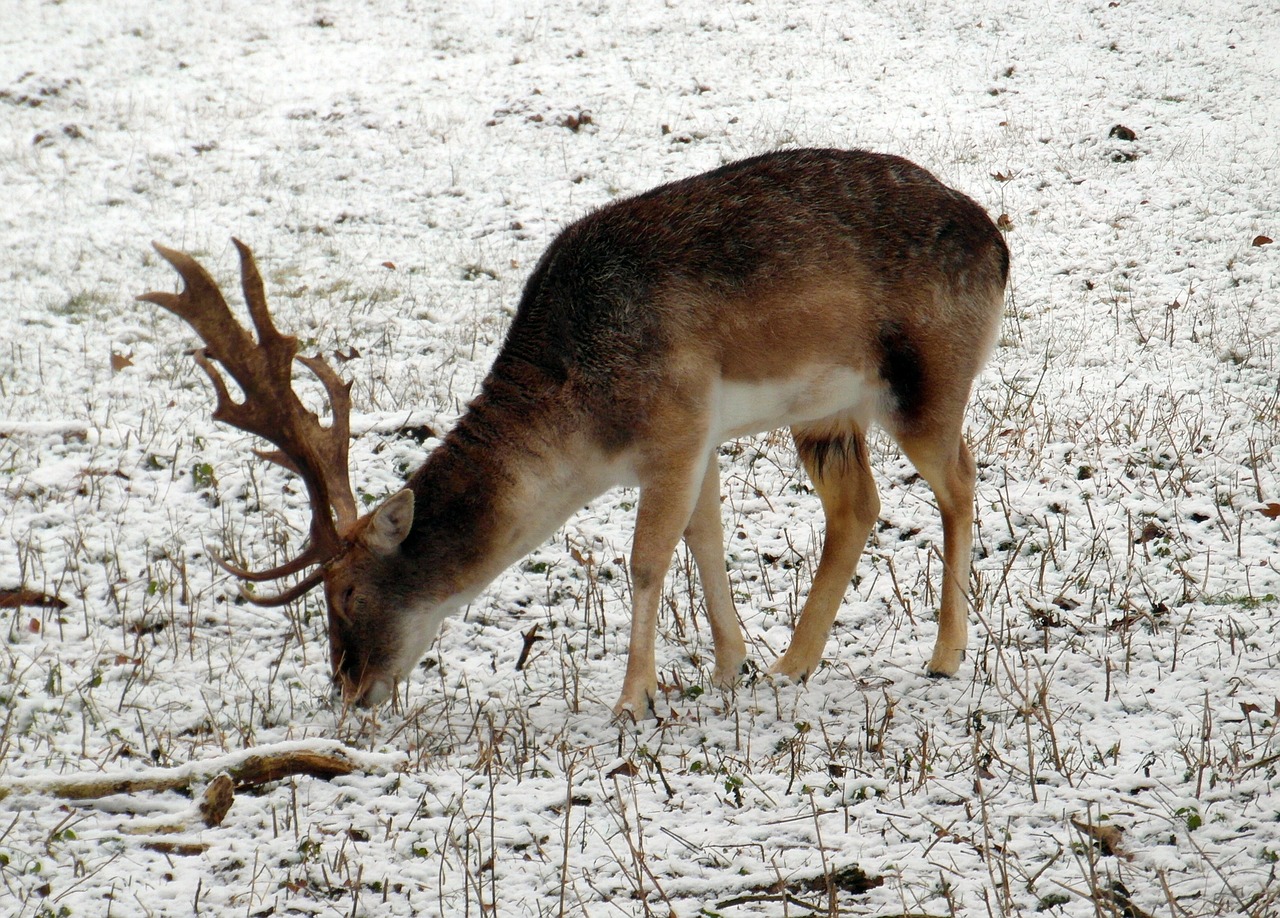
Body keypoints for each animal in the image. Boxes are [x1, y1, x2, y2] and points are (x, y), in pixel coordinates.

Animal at [145, 146, 1008, 722]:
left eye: (347, 590)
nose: (350, 687)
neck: (588, 426)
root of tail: (1001, 246)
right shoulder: (698, 439)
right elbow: (705, 541)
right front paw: (731, 669)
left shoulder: (676, 423)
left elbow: (647, 560)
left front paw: (632, 701)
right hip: (825, 412)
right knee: (858, 505)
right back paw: (793, 666)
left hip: (929, 381)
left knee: (962, 479)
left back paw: (944, 656)